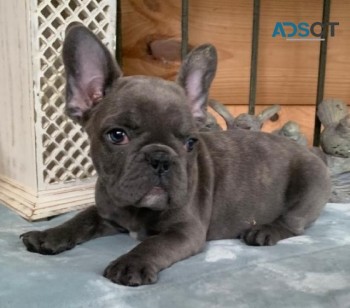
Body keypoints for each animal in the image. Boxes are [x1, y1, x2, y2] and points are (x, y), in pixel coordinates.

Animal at [21, 23, 330, 286]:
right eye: (117, 135)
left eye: (191, 142)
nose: (161, 158)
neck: (136, 211)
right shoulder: (106, 212)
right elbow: (80, 218)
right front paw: (48, 235)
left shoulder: (185, 231)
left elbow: (153, 243)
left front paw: (130, 264)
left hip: (308, 183)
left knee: (294, 224)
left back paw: (264, 231)